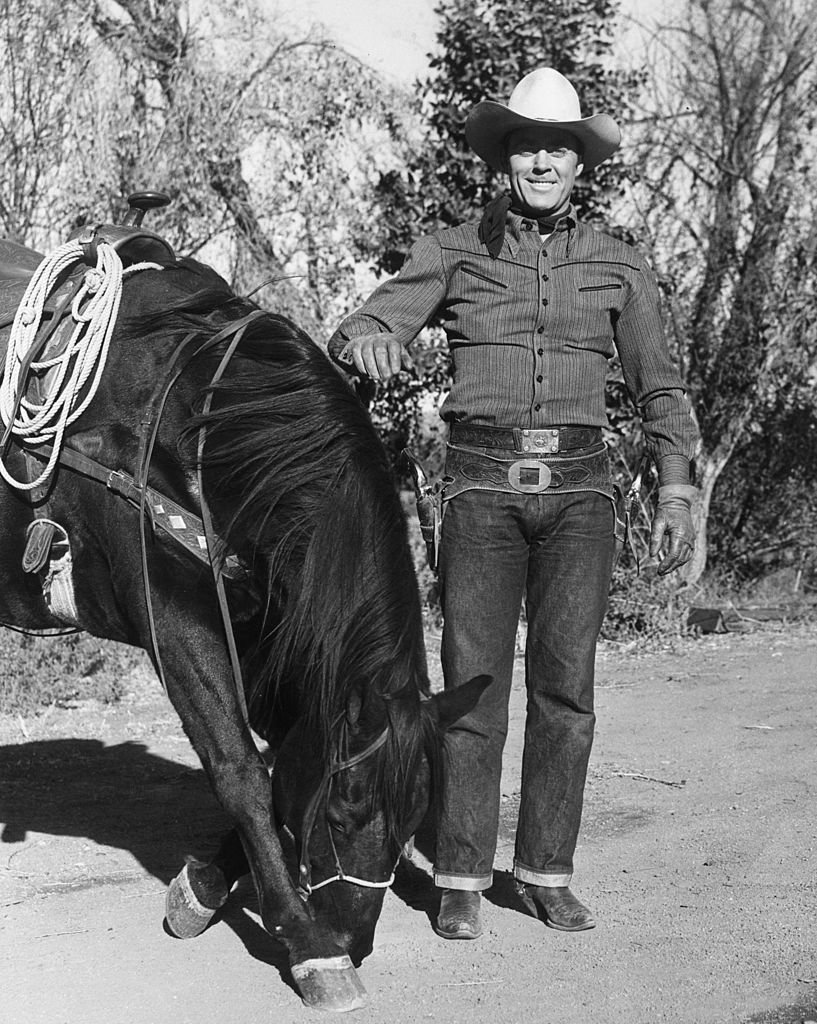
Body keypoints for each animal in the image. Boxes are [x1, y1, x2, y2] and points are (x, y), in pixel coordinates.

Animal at [0, 245, 487, 1007]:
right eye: (343, 813)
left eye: (416, 819)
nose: (355, 936)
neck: (190, 420)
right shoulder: (176, 624)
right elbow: (241, 773)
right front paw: (310, 945)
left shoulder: (268, 631)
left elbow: (281, 762)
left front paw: (203, 886)